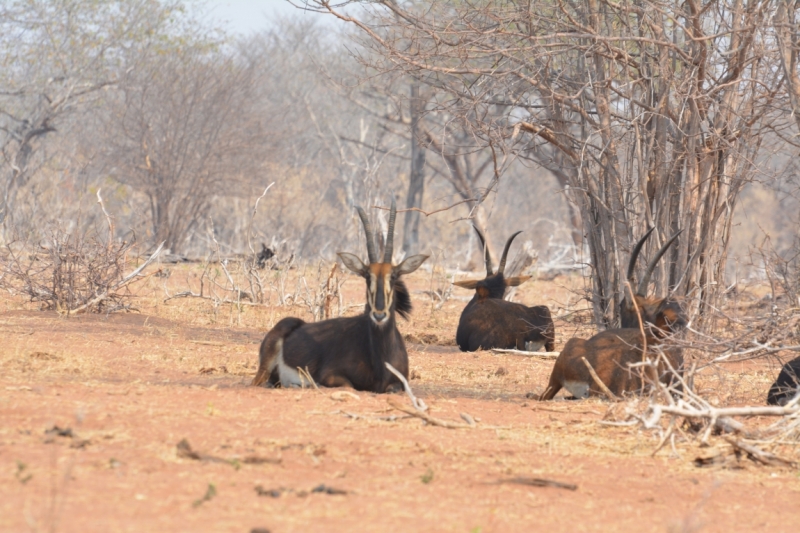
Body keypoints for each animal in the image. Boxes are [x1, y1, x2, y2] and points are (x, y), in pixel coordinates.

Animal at [250, 200, 428, 390]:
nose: (379, 315)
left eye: (393, 276)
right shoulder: (330, 376)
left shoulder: (400, 383)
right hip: (265, 369)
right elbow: (348, 386)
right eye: (367, 276)